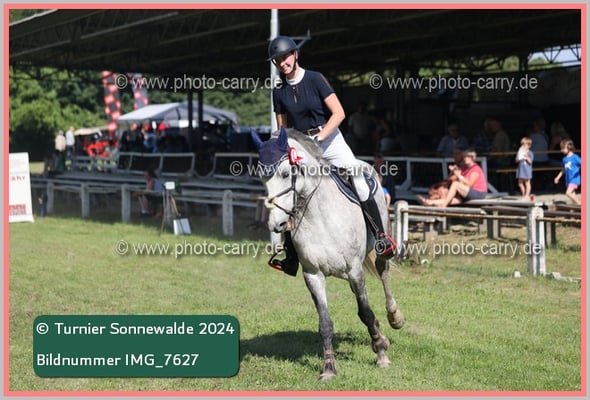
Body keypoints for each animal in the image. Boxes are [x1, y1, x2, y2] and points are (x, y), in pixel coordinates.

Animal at [251, 127, 405, 380]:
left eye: (285, 174)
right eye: (262, 178)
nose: (277, 225)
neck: (319, 216)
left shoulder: (355, 270)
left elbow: (365, 312)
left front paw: (381, 353)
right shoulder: (313, 275)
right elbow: (325, 323)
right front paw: (329, 368)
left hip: (379, 245)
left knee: (383, 272)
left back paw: (394, 317)